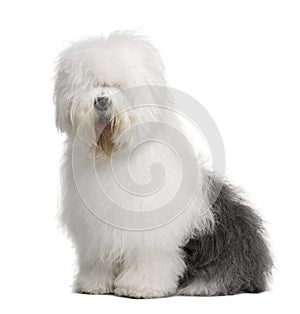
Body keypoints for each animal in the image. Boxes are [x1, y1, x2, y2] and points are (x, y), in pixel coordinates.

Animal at [54, 30, 272, 298]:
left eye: (120, 86)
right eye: (91, 84)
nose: (102, 100)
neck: (115, 155)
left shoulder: (150, 231)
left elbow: (149, 258)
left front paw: (141, 286)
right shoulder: (95, 231)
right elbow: (99, 259)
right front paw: (94, 284)